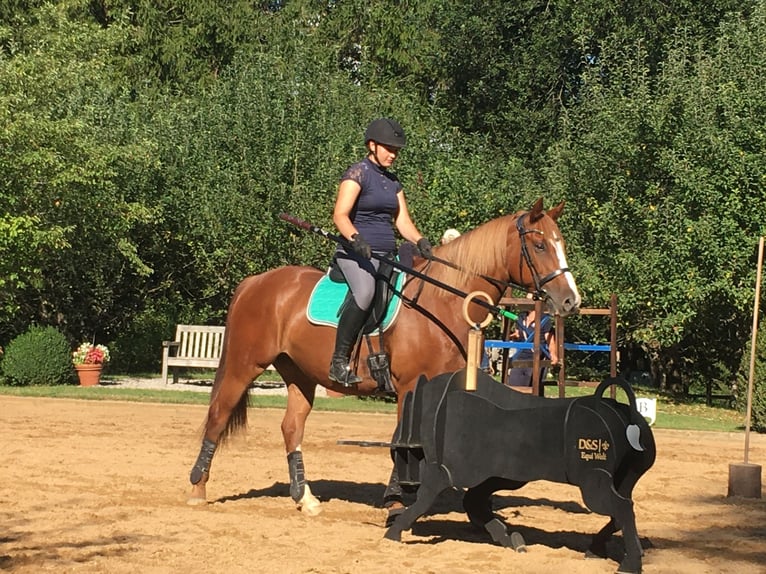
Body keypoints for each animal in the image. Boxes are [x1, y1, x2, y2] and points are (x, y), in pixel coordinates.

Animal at [188, 200, 584, 520]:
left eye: (561, 244)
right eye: (539, 245)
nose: (570, 301)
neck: (443, 301)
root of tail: (255, 282)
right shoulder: (410, 386)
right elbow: (404, 442)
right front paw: (396, 500)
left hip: (299, 373)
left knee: (291, 428)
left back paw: (305, 498)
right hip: (245, 365)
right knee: (219, 415)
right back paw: (198, 488)